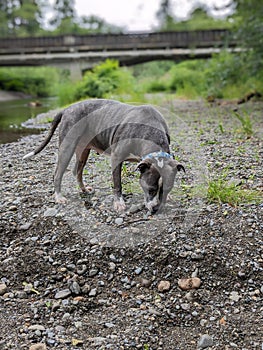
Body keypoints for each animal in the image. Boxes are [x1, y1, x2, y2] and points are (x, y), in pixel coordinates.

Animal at [24, 98, 186, 213]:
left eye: (167, 188)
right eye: (151, 189)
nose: (156, 208)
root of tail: (67, 109)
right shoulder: (116, 158)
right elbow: (117, 183)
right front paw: (119, 203)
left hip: (83, 151)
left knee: (77, 170)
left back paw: (84, 189)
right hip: (66, 148)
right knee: (58, 173)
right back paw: (59, 197)